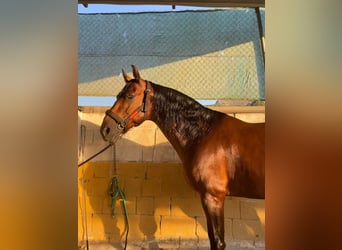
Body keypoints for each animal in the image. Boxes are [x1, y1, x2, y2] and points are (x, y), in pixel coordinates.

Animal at [99, 65, 264, 249]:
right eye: (117, 95)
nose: (105, 129)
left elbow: (218, 241)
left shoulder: (213, 197)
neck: (204, 133)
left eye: (130, 96)